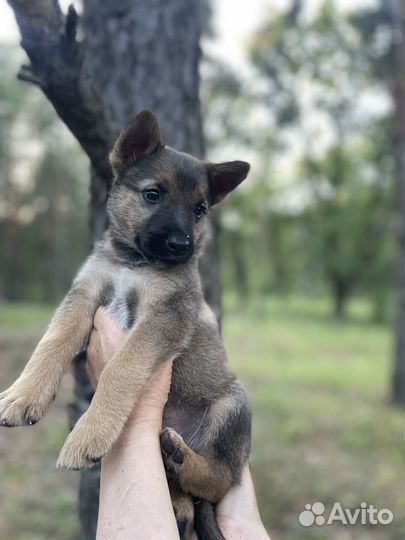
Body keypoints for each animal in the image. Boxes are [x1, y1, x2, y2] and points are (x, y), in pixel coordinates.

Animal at [0, 110, 251, 540]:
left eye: (200, 209)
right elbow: (50, 344)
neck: (134, 263)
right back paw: (177, 490)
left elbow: (120, 369)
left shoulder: (161, 317)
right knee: (188, 497)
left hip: (232, 408)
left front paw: (88, 433)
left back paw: (181, 458)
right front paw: (22, 395)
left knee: (219, 479)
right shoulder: (84, 296)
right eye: (153, 194)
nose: (182, 246)